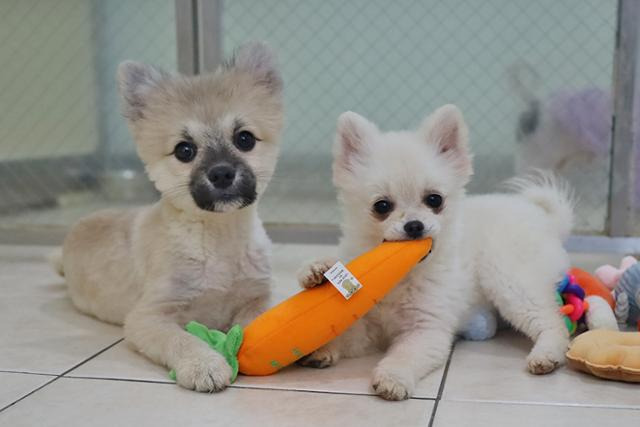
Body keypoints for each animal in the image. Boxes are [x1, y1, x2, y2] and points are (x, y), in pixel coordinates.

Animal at [298, 104, 572, 402]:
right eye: (381, 206)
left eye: (434, 200)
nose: (414, 225)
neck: (400, 274)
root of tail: (545, 218)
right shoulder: (367, 326)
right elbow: (344, 334)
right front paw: (317, 276)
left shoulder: (426, 330)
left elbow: (404, 356)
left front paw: (392, 379)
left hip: (508, 279)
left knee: (552, 320)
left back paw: (546, 354)